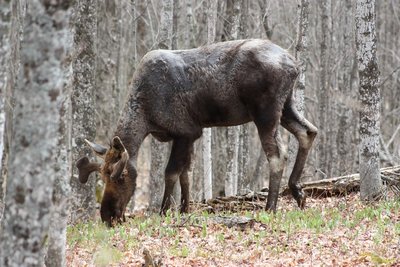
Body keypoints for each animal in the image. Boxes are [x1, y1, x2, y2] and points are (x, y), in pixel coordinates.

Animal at [76, 38, 318, 227]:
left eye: (121, 176)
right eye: (102, 176)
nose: (108, 216)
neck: (145, 114)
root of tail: (294, 65)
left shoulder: (184, 132)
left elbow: (171, 173)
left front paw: (164, 211)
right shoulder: (192, 134)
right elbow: (187, 173)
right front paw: (184, 209)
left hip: (266, 112)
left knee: (278, 154)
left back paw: (271, 206)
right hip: (287, 105)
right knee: (308, 131)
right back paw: (298, 192)